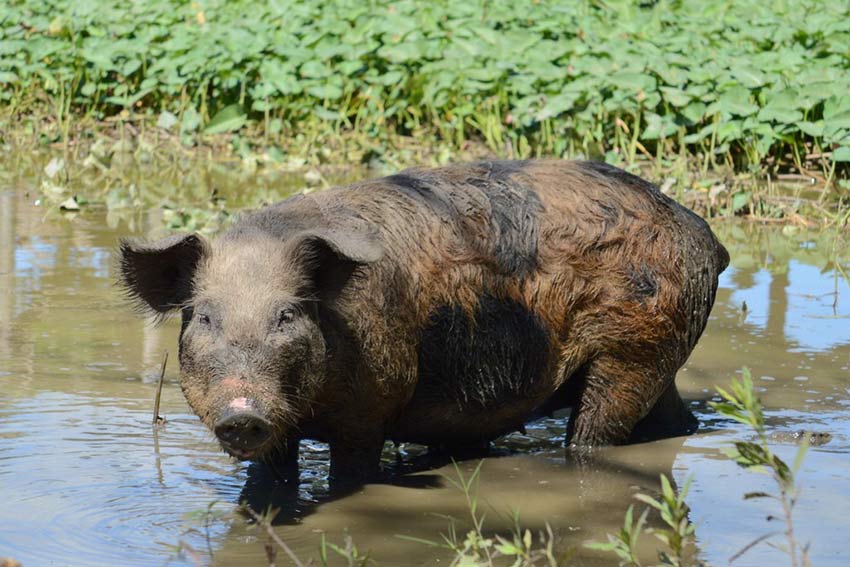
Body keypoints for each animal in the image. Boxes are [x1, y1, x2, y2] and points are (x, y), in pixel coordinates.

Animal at [117, 162, 728, 482]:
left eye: (287, 314)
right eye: (204, 317)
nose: (241, 412)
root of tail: (700, 230)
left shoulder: (372, 405)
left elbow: (353, 474)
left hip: (631, 350)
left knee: (597, 433)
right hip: (658, 357)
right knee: (675, 421)